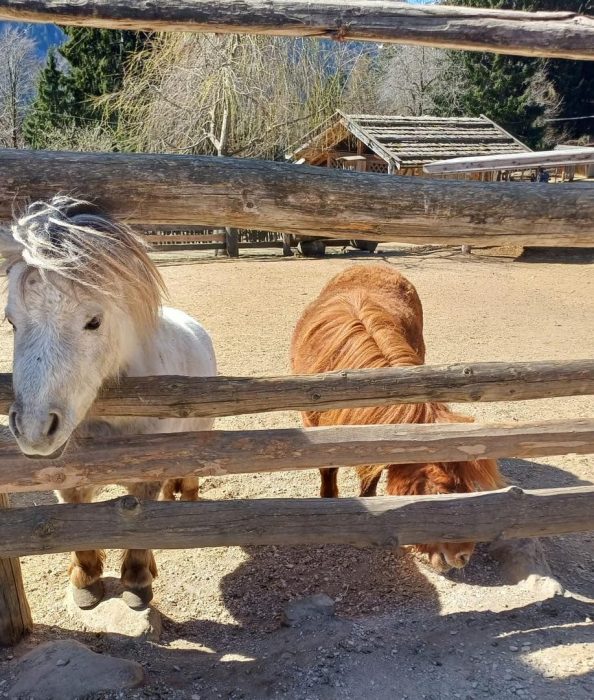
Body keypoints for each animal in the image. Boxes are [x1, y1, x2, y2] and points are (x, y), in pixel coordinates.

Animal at [0, 196, 217, 609]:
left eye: (93, 322)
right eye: (12, 322)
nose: (34, 430)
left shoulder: (148, 470)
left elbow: (138, 525)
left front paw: (137, 581)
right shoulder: (69, 475)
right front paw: (86, 580)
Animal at [290, 265, 504, 572]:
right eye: (442, 492)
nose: (464, 556)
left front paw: (368, 502)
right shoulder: (312, 424)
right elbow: (327, 468)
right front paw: (329, 501)